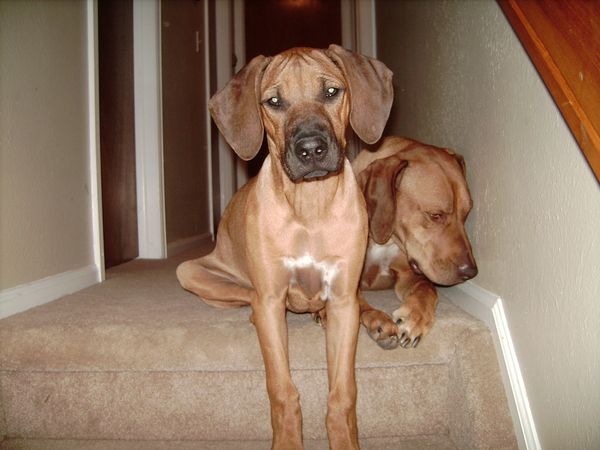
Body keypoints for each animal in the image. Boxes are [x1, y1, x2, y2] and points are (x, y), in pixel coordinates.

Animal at [177, 45, 393, 449]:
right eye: (274, 101)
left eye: (331, 91)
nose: (311, 149)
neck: (309, 207)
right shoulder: (271, 296)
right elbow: (282, 390)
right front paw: (289, 440)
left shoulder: (343, 298)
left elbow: (343, 393)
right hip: (193, 272)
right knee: (249, 300)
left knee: (357, 304)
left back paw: (374, 319)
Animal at [352, 136, 478, 350]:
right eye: (435, 215)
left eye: (466, 213)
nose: (471, 272)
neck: (385, 241)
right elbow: (358, 303)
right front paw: (378, 319)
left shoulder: (408, 274)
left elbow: (428, 289)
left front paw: (415, 318)